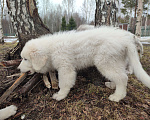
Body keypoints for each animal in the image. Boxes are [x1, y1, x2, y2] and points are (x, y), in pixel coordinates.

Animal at [17, 26, 150, 102]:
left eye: (25, 59)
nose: (18, 69)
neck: (50, 49)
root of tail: (126, 39)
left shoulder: (65, 67)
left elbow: (64, 83)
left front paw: (60, 95)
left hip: (104, 61)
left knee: (123, 78)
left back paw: (117, 96)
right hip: (116, 61)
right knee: (120, 75)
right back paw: (113, 85)